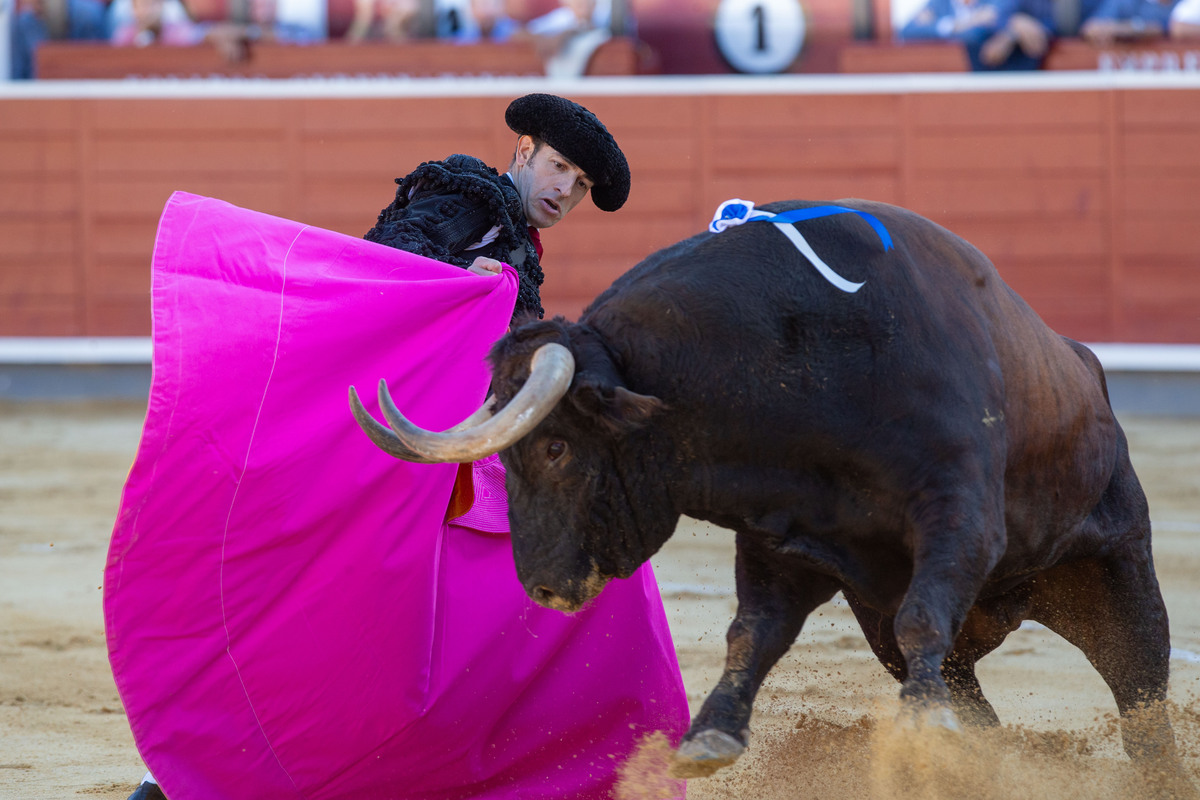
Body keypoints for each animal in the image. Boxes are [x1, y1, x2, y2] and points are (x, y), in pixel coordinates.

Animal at [350, 199, 1185, 782]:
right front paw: (709, 736)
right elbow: (752, 631)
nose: (543, 588)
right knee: (968, 689)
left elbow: (922, 612)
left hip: (1119, 568)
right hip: (888, 621)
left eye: (555, 447)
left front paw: (921, 729)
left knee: (1141, 696)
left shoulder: (960, 515)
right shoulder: (784, 538)